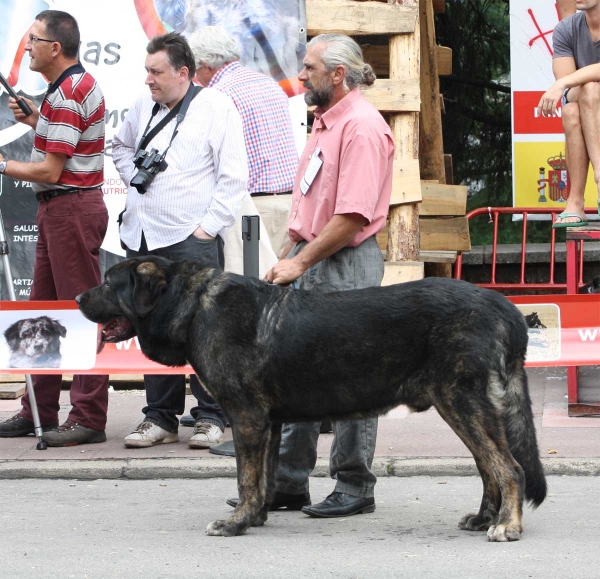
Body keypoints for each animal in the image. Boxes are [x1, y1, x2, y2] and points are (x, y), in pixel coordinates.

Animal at [77, 258, 548, 540]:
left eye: (107, 283)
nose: (78, 297)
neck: (193, 305)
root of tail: (504, 307)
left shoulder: (247, 417)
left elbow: (245, 477)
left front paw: (235, 523)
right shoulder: (267, 421)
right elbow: (262, 478)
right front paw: (255, 517)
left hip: (462, 402)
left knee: (509, 468)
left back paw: (506, 526)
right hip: (462, 407)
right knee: (489, 467)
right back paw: (485, 518)